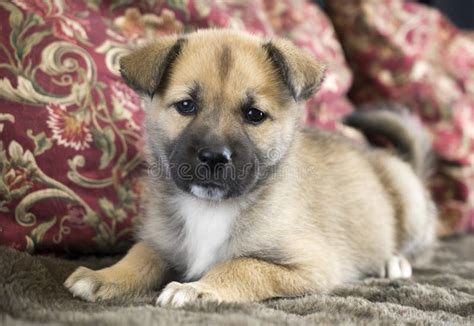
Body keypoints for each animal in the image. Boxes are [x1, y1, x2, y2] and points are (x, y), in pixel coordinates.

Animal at [64, 29, 436, 306]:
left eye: (254, 114)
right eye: (186, 105)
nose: (214, 157)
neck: (210, 208)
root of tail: (397, 160)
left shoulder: (311, 265)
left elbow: (243, 265)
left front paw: (197, 288)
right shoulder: (162, 242)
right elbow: (139, 254)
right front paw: (104, 276)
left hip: (410, 203)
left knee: (419, 249)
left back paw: (393, 262)